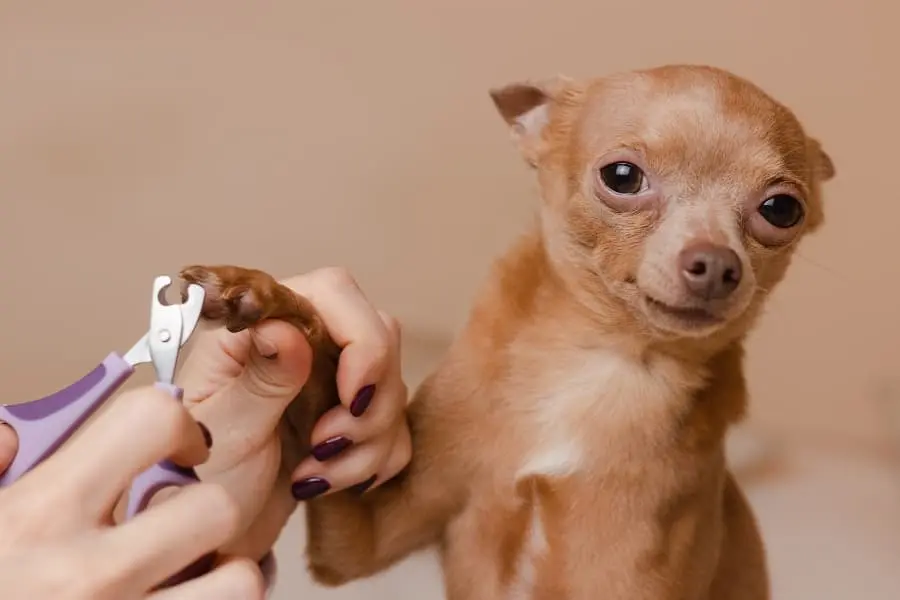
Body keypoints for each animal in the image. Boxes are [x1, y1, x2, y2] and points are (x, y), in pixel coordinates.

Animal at [181, 65, 836, 600]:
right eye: (623, 176)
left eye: (782, 210)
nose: (718, 264)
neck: (601, 361)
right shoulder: (355, 540)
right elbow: (323, 369)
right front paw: (263, 296)